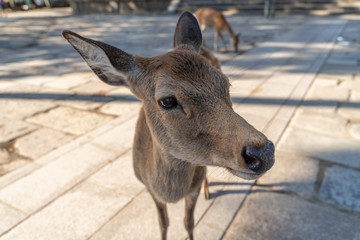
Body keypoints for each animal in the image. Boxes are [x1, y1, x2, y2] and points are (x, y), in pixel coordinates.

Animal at [63, 11, 274, 240]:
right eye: (167, 100)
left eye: (226, 84)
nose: (263, 152)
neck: (170, 192)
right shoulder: (150, 189)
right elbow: (163, 223)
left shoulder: (192, 188)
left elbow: (189, 222)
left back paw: (207, 191)